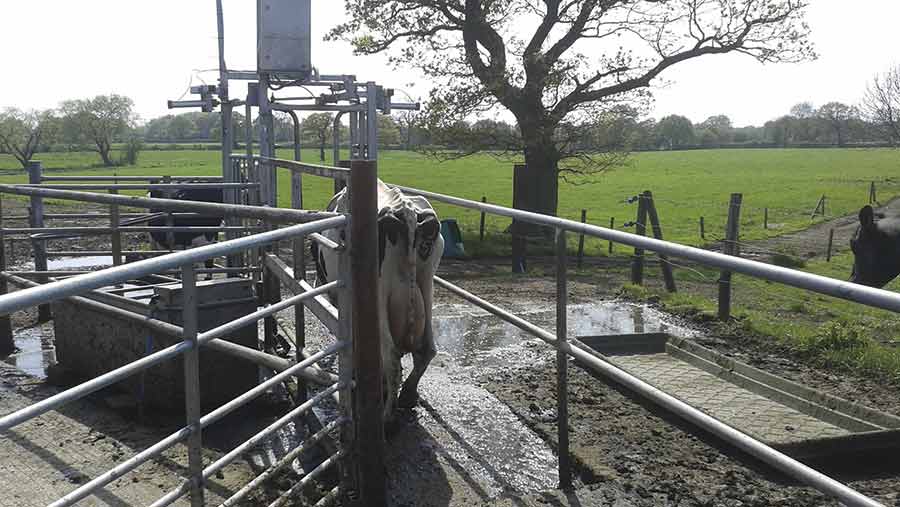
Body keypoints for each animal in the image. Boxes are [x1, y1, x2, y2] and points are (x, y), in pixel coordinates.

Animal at [312, 181, 444, 422]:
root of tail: (406, 211)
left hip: (379, 300)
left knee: (391, 358)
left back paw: (387, 416)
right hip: (426, 286)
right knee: (427, 350)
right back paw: (408, 395)